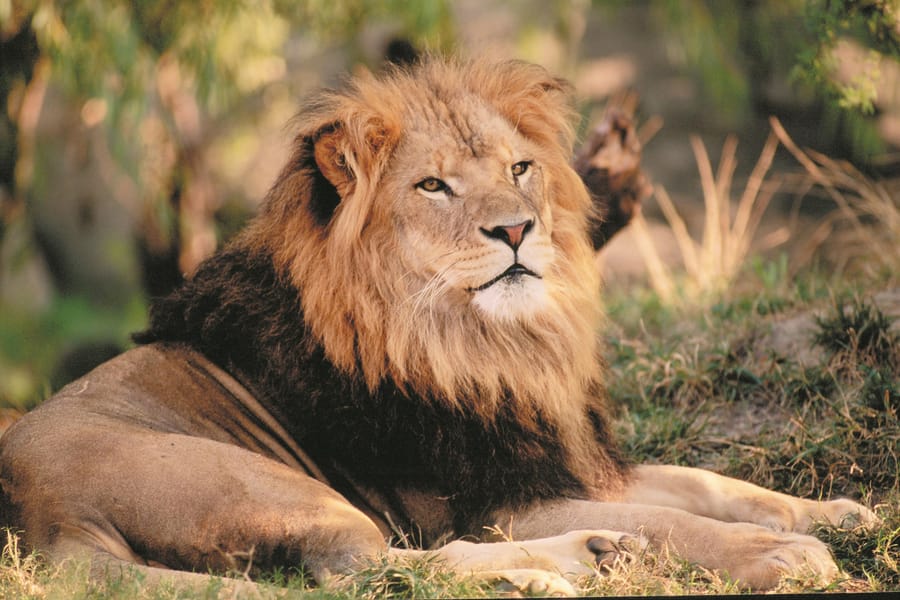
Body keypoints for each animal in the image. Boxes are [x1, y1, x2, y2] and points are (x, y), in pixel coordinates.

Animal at [0, 57, 877, 595]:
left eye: (520, 168)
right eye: (433, 186)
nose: (518, 228)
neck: (484, 346)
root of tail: (47, 522)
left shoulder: (552, 463)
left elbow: (705, 483)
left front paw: (834, 514)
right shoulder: (493, 502)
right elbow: (670, 519)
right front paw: (782, 554)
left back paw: (587, 556)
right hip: (280, 489)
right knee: (379, 570)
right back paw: (553, 569)